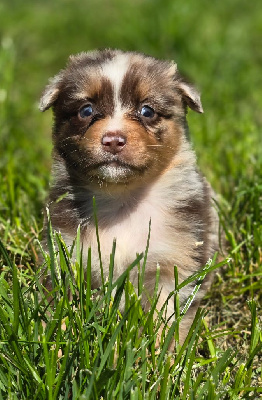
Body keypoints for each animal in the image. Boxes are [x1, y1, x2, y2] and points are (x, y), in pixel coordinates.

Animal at [39, 49, 219, 344]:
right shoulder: (66, 253)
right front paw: (57, 340)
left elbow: (166, 318)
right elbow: (60, 306)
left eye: (147, 111)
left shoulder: (172, 265)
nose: (113, 139)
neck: (122, 197)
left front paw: (162, 353)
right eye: (86, 110)